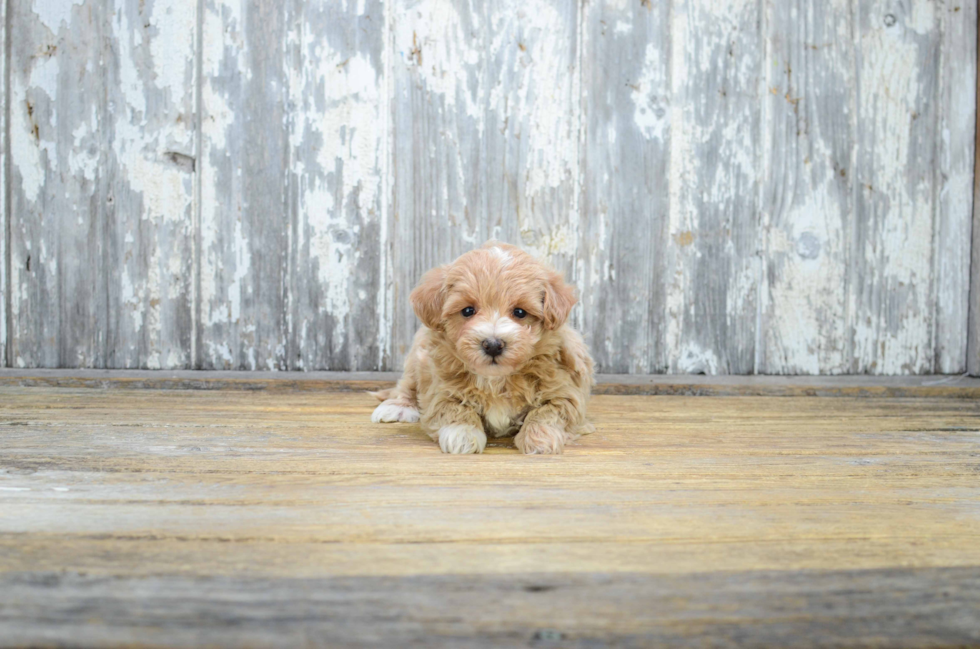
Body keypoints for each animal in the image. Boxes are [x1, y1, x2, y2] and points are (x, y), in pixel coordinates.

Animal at [372, 242, 592, 456]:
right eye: (468, 311)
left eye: (520, 312)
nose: (493, 345)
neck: (496, 379)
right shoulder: (438, 385)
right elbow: (452, 407)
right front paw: (462, 434)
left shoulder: (566, 388)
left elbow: (549, 411)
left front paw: (539, 438)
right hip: (417, 356)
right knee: (407, 384)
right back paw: (397, 406)